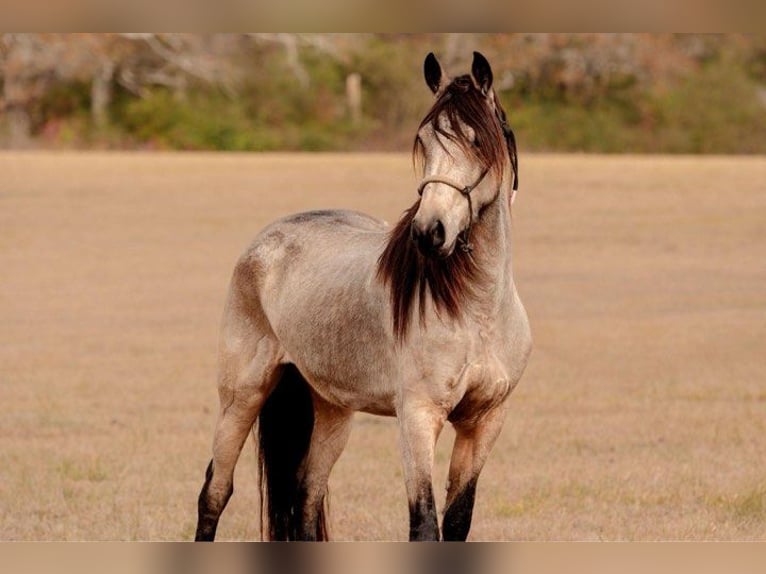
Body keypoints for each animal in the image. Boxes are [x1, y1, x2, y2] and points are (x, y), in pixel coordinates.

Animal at [194, 51, 536, 544]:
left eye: (476, 140)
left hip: (332, 410)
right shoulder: (417, 418)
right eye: (424, 140)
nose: (429, 232)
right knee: (215, 492)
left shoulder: (485, 423)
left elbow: (457, 522)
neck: (478, 313)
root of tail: (266, 240)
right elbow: (424, 524)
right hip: (242, 396)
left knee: (305, 498)